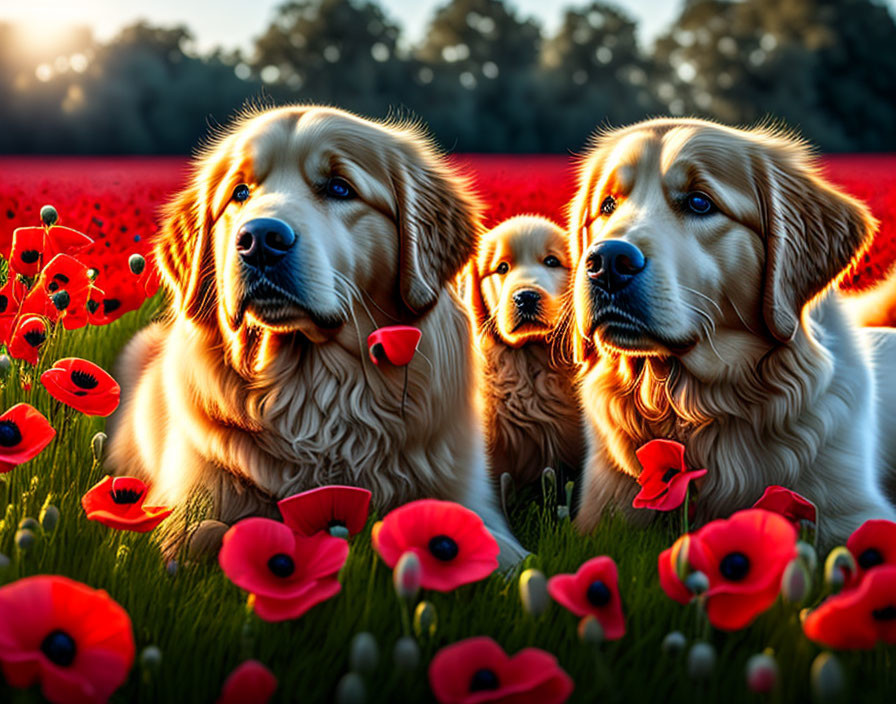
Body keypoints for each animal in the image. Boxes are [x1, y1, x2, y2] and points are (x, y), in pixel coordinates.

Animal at [105, 104, 524, 564]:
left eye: (340, 188)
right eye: (240, 193)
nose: (259, 239)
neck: (312, 391)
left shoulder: (470, 500)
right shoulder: (185, 507)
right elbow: (204, 534)